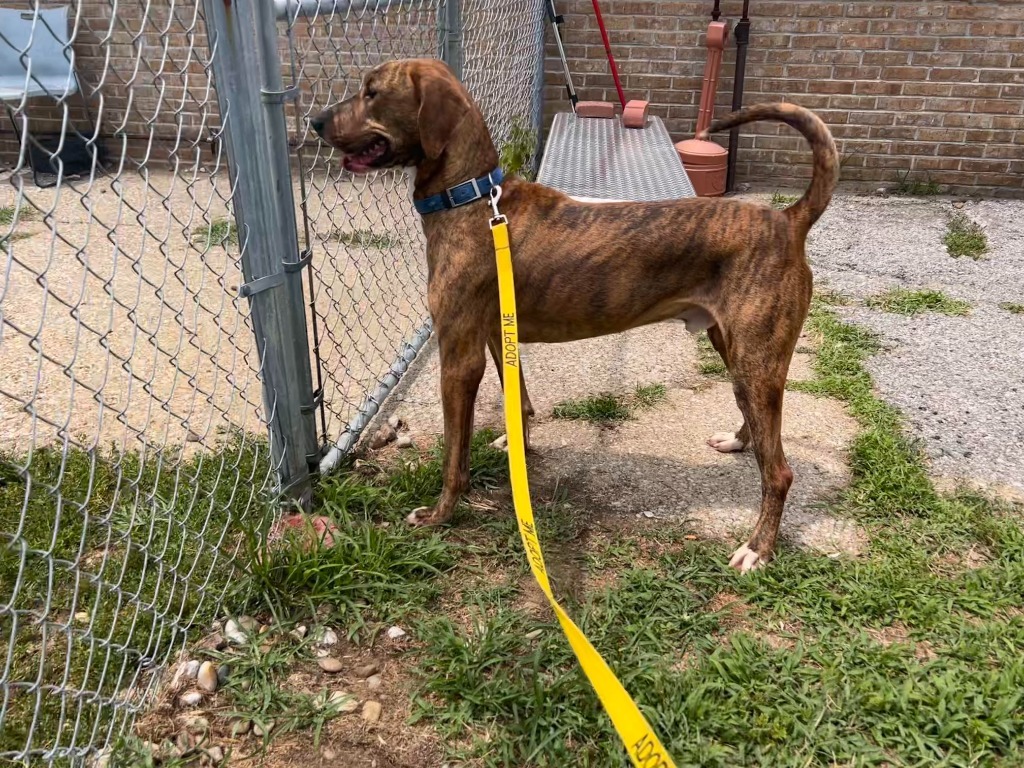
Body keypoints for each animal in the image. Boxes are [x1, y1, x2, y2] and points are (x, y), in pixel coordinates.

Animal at [311, 57, 839, 573]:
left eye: (372, 92)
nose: (314, 121)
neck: (472, 198)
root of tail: (788, 219)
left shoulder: (458, 357)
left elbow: (453, 458)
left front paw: (441, 514)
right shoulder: (494, 333)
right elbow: (520, 402)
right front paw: (516, 445)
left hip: (755, 356)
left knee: (779, 471)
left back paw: (758, 549)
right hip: (736, 349)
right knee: (757, 421)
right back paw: (738, 441)